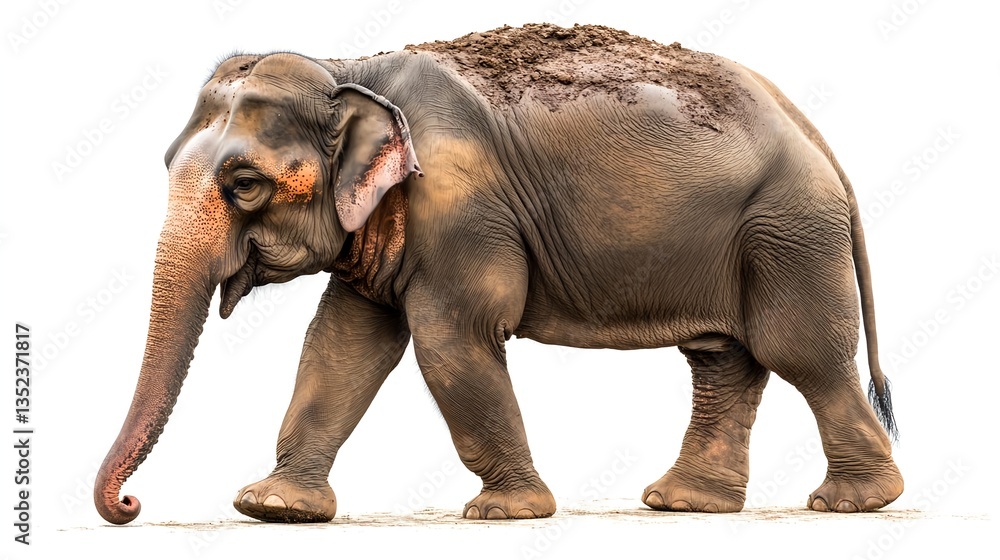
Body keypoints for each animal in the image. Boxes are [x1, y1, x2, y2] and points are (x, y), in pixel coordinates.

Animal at [95, 23, 903, 525]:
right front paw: (273, 509)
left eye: (245, 186)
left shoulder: (462, 205)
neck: (350, 70)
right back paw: (682, 504)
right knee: (723, 360)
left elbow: (451, 339)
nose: (130, 506)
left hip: (788, 229)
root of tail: (817, 138)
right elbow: (343, 343)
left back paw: (851, 503)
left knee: (800, 353)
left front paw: (504, 514)